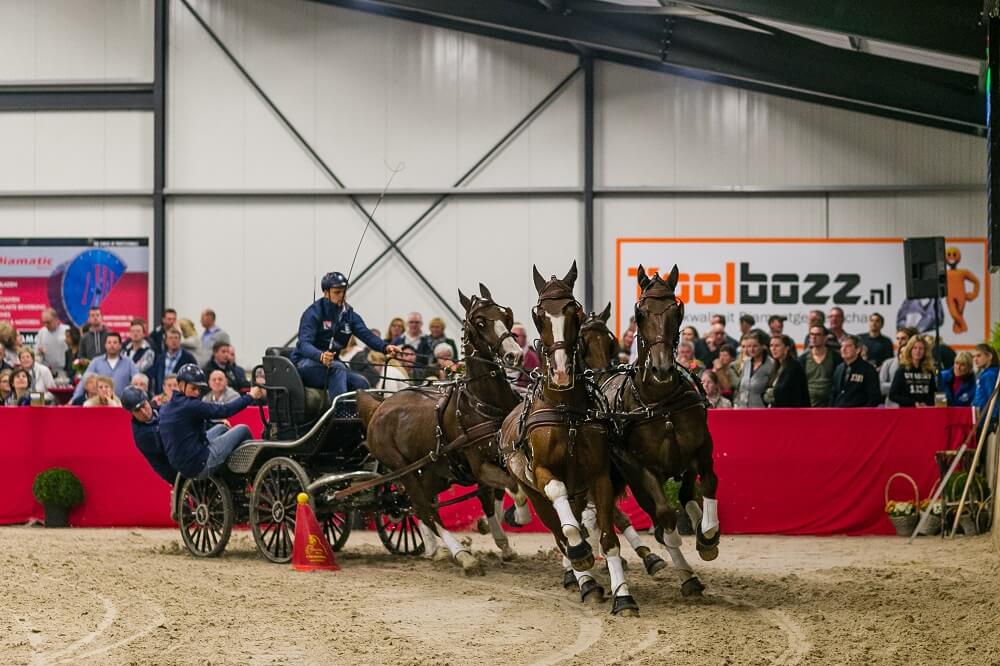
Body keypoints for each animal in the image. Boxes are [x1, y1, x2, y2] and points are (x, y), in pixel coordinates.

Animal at [362, 282, 532, 572]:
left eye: (505, 315)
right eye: (480, 321)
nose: (515, 354)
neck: (481, 403)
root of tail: (379, 406)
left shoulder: (503, 457)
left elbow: (500, 493)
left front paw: (499, 535)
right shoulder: (479, 465)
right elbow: (513, 488)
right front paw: (515, 518)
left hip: (434, 471)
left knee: (418, 504)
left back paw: (436, 549)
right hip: (402, 469)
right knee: (423, 507)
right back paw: (460, 554)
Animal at [500, 262, 640, 616]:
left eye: (573, 311)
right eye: (538, 315)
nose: (562, 372)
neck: (566, 411)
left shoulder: (599, 477)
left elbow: (608, 539)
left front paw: (623, 596)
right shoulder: (543, 474)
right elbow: (566, 522)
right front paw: (581, 557)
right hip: (534, 495)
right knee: (559, 531)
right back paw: (584, 577)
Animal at [600, 264, 720, 596]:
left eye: (677, 311)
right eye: (639, 313)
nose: (662, 368)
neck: (658, 402)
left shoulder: (701, 448)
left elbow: (709, 484)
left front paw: (709, 537)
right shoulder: (639, 467)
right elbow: (664, 515)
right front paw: (676, 545)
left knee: (688, 494)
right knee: (658, 511)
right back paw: (684, 572)